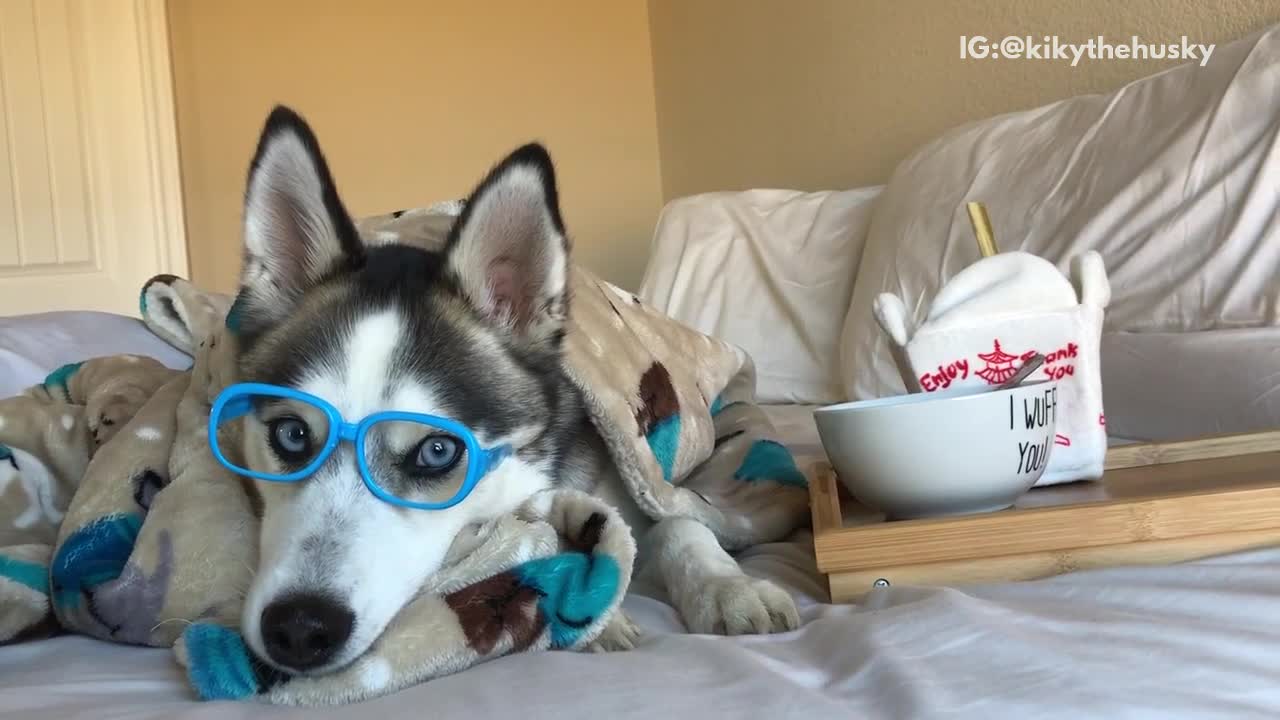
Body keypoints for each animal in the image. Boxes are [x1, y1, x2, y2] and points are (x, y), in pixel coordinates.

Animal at [225, 106, 793, 671]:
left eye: (437, 451)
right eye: (292, 434)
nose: (300, 629)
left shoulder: (647, 489)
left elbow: (679, 526)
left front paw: (730, 589)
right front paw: (600, 614)